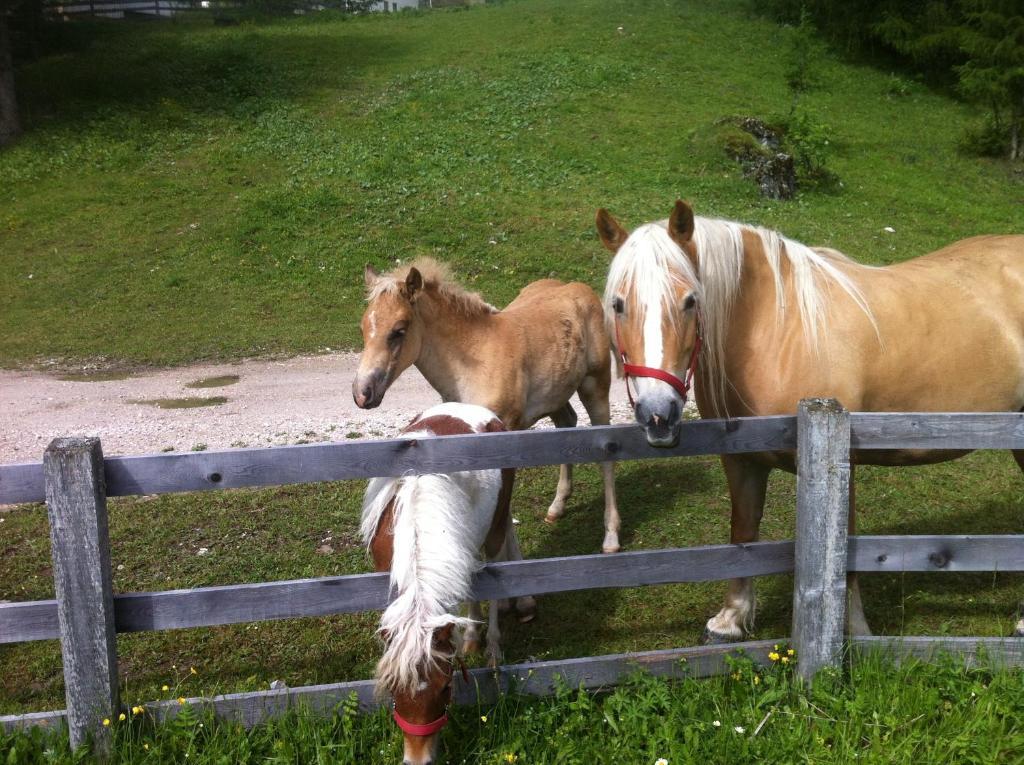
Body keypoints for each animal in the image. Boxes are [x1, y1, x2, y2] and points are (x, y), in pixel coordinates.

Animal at [352, 260, 622, 553]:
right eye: (363, 328)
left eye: (399, 331)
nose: (362, 393)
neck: (476, 360)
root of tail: (579, 288)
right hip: (555, 392)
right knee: (567, 424)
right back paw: (557, 507)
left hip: (595, 385)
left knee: (605, 449)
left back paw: (611, 536)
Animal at [362, 403, 536, 761]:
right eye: (394, 690)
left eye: (445, 687)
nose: (418, 761)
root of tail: (476, 410)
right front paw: (467, 638)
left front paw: (488, 647)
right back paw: (471, 638)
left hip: (494, 528)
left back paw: (492, 646)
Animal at [598, 200, 1024, 643]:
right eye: (618, 304)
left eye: (690, 301)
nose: (657, 414)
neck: (780, 331)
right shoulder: (741, 461)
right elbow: (742, 533)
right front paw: (730, 620)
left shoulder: (839, 463)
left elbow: (842, 551)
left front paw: (853, 631)